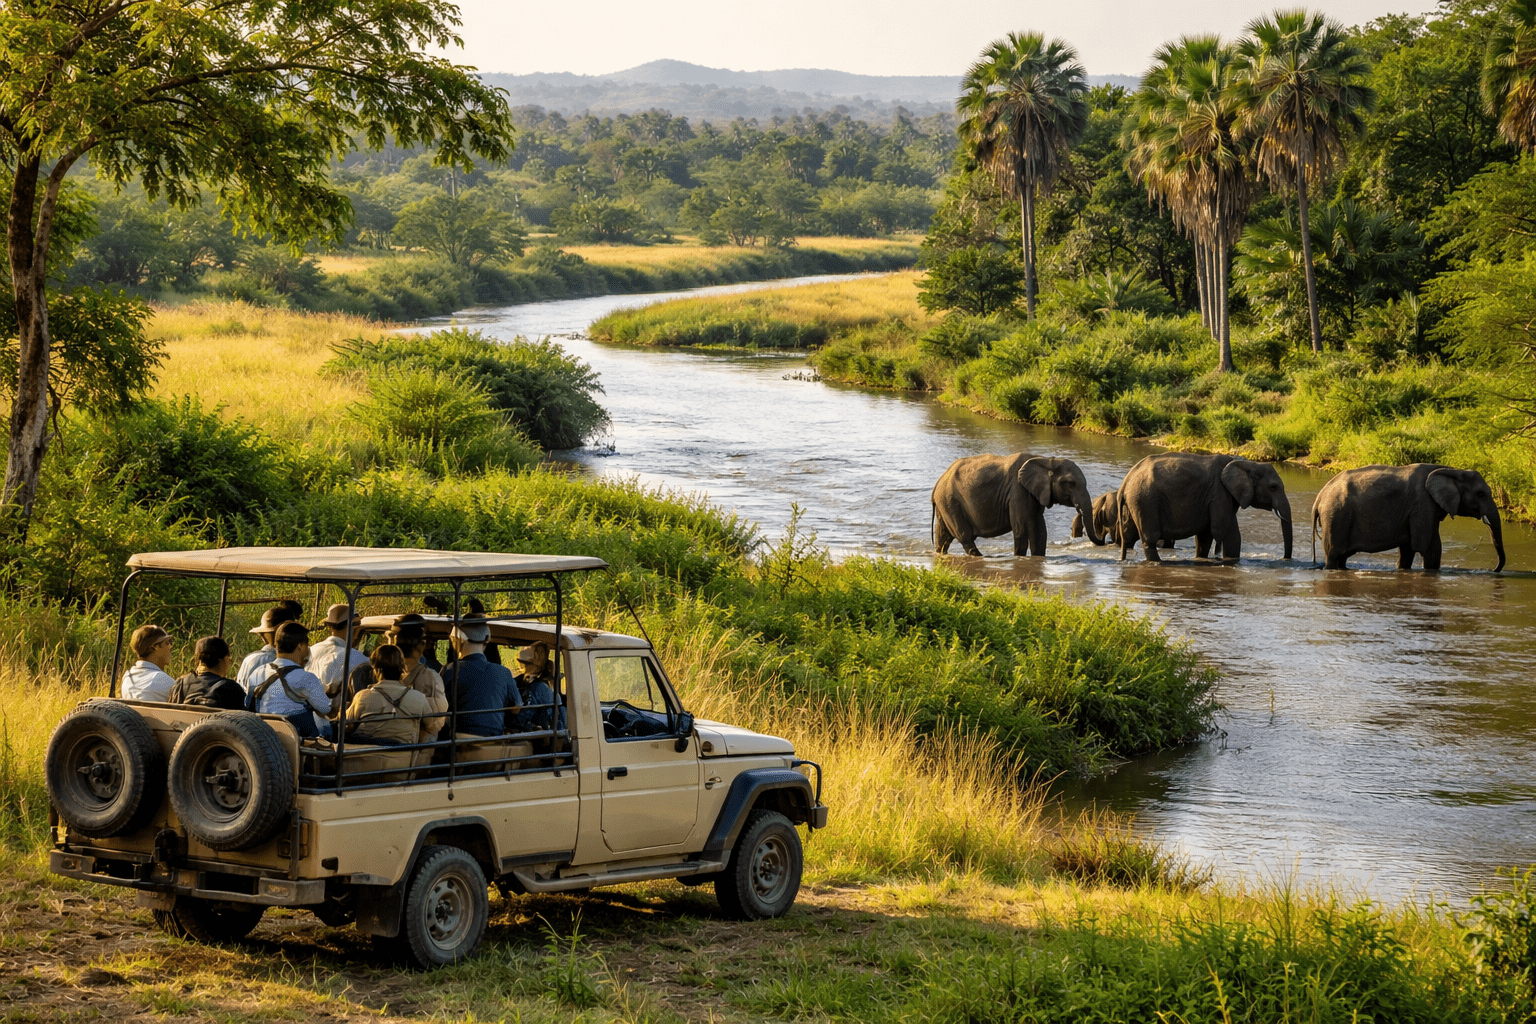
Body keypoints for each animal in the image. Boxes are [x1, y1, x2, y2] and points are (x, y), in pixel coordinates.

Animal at [932, 453, 1102, 556]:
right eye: (1071, 483)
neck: (1045, 460)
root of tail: (939, 481)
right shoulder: (1018, 491)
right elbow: (1021, 530)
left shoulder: (1035, 494)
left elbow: (1040, 531)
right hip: (950, 502)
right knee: (964, 536)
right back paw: (981, 556)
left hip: (945, 503)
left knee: (943, 537)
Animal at [1117, 453, 1294, 562]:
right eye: (1273, 487)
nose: (1285, 559)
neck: (1246, 464)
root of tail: (1126, 482)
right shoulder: (1219, 494)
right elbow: (1226, 533)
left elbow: (1206, 536)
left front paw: (1203, 558)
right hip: (1146, 501)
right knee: (1150, 538)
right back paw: (1159, 562)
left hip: (1137, 502)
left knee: (1129, 535)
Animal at [1311, 463, 1505, 571]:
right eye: (1480, 494)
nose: (1492, 570)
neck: (1453, 470)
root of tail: (1319, 497)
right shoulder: (1423, 504)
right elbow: (1429, 547)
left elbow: (1408, 549)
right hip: (1336, 515)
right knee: (1333, 554)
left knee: (1342, 557)